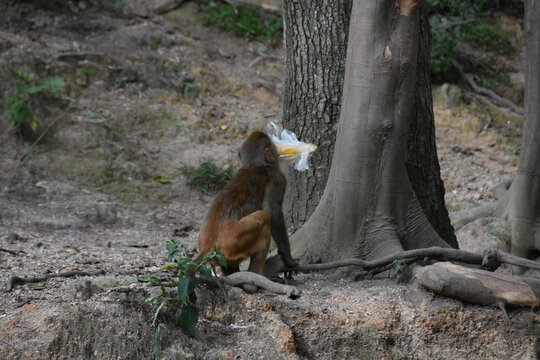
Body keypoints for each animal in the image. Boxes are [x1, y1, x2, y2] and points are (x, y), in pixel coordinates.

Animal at [197, 131, 298, 274]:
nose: (277, 152)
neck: (254, 165)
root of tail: (208, 245)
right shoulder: (278, 179)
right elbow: (272, 210)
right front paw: (288, 258)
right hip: (235, 241)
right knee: (265, 217)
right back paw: (258, 273)